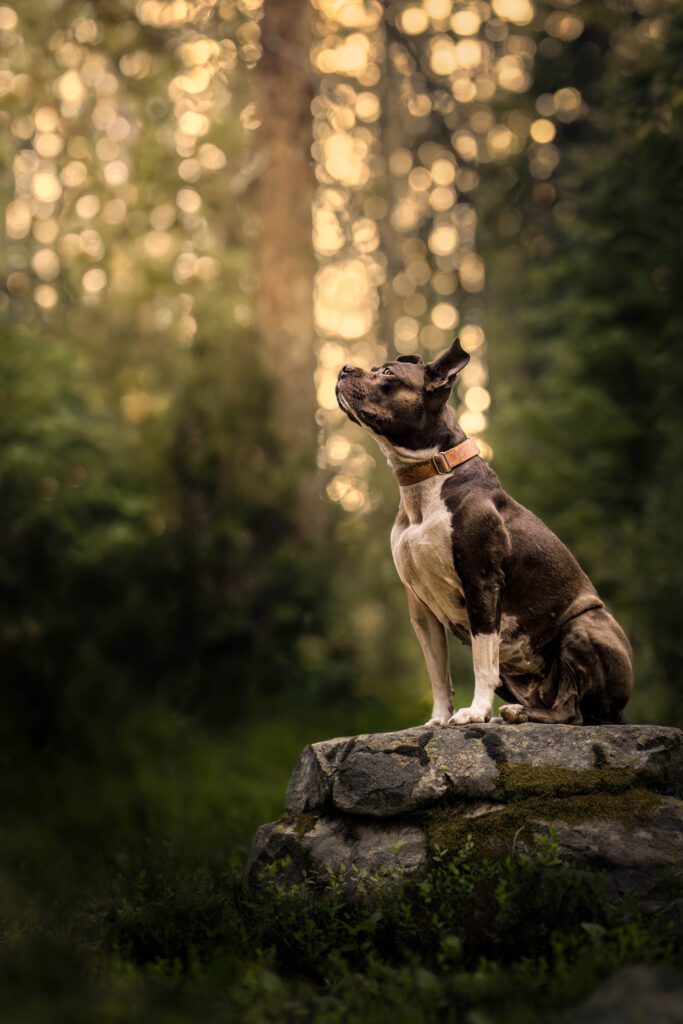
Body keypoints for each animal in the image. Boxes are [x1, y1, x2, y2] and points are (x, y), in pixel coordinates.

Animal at [333, 339, 634, 724]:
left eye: (387, 373)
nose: (344, 368)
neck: (426, 479)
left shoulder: (482, 584)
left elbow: (482, 661)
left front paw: (474, 713)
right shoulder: (420, 607)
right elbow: (438, 671)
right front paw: (438, 719)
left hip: (582, 626)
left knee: (571, 710)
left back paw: (520, 714)